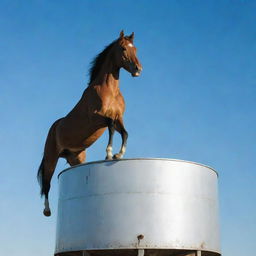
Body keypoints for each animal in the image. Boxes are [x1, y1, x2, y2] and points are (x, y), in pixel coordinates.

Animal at [37, 31, 143, 217]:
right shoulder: (97, 118)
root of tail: (54, 128)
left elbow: (124, 133)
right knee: (47, 183)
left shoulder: (119, 118)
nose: (138, 69)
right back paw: (47, 210)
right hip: (51, 158)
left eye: (135, 49)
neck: (109, 90)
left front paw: (119, 155)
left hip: (76, 158)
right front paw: (109, 154)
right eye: (123, 48)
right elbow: (110, 127)